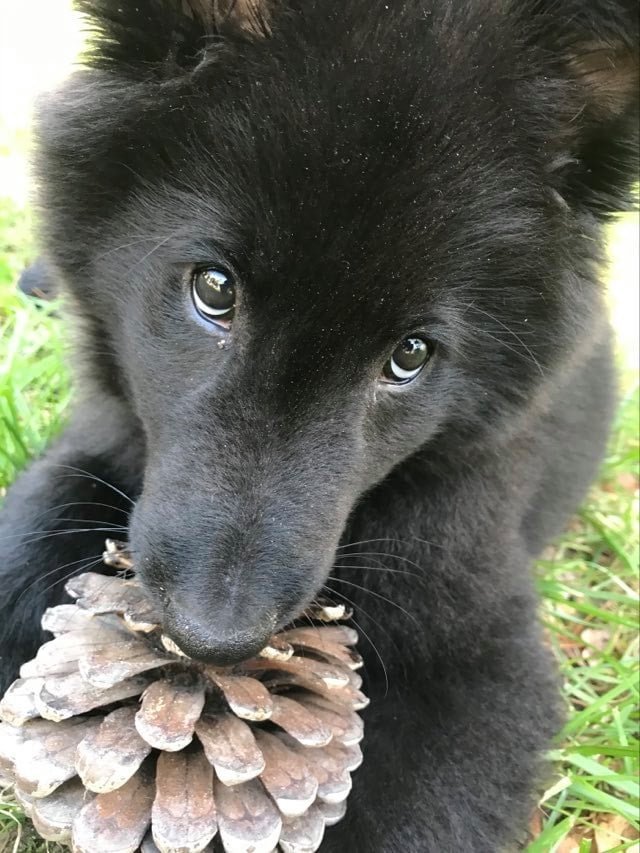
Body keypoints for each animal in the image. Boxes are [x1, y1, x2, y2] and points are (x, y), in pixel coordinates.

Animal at [0, 3, 636, 848]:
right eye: (214, 288)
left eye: (410, 355)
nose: (213, 638)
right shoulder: (106, 438)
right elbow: (26, 530)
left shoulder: (475, 638)